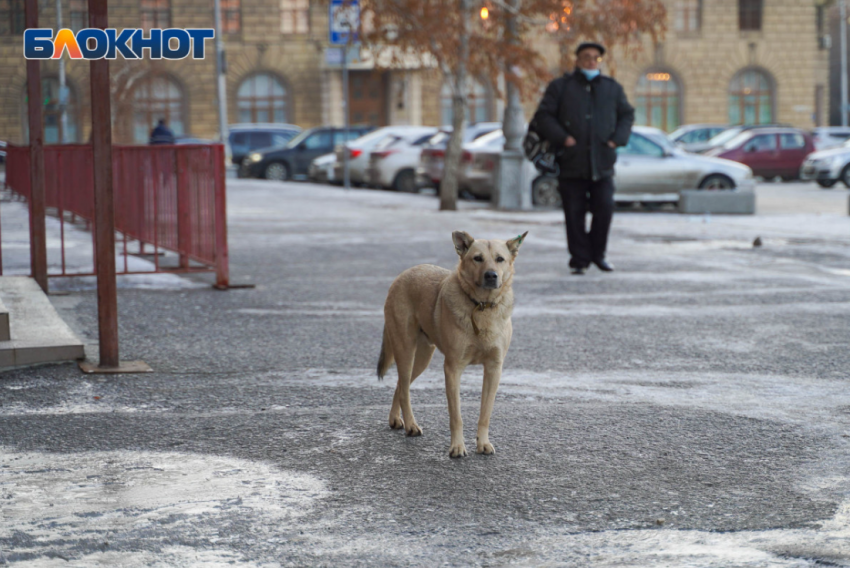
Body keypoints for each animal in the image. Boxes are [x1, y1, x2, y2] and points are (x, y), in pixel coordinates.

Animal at [376, 231, 524, 458]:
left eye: (500, 259)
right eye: (477, 258)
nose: (491, 275)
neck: (481, 306)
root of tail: (403, 274)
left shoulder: (494, 368)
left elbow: (485, 413)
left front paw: (483, 443)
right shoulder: (453, 368)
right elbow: (456, 416)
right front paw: (457, 447)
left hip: (423, 358)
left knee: (401, 385)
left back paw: (395, 419)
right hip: (406, 351)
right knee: (404, 389)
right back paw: (411, 425)